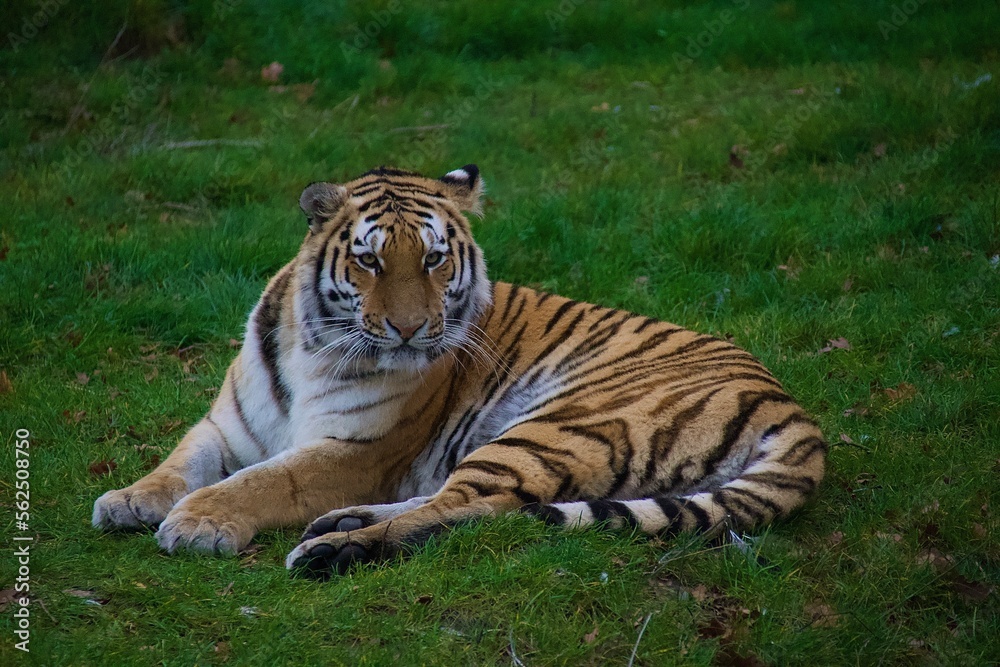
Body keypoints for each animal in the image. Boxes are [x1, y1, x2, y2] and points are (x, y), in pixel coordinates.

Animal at [92, 164, 827, 577]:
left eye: (435, 259)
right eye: (370, 261)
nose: (410, 328)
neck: (311, 344)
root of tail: (794, 412)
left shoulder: (353, 450)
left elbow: (263, 481)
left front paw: (197, 523)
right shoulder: (228, 424)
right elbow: (181, 460)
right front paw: (128, 499)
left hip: (558, 424)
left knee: (482, 506)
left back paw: (334, 550)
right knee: (467, 501)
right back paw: (341, 525)